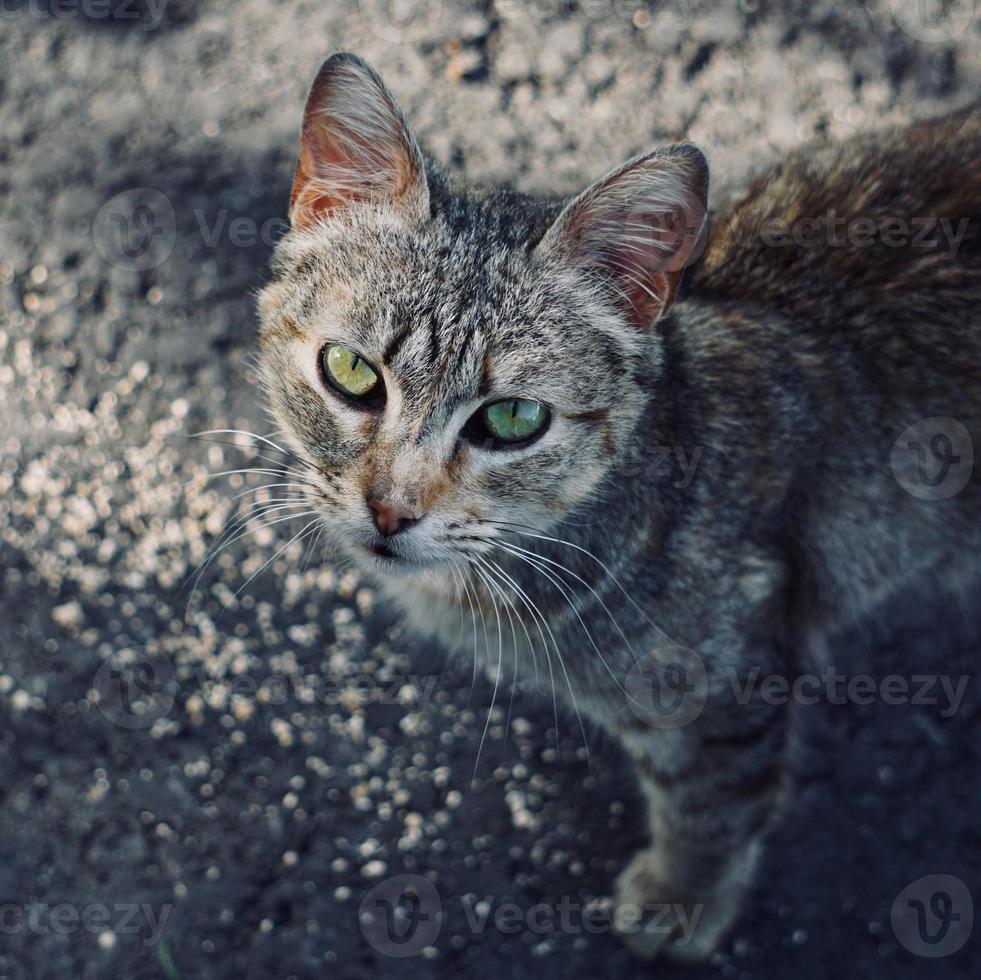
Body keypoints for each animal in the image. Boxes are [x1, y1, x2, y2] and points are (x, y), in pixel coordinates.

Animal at [255, 49, 980, 960]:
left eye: (512, 420)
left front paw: (681, 900)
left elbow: (711, 806)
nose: (389, 510)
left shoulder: (727, 689)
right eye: (351, 372)